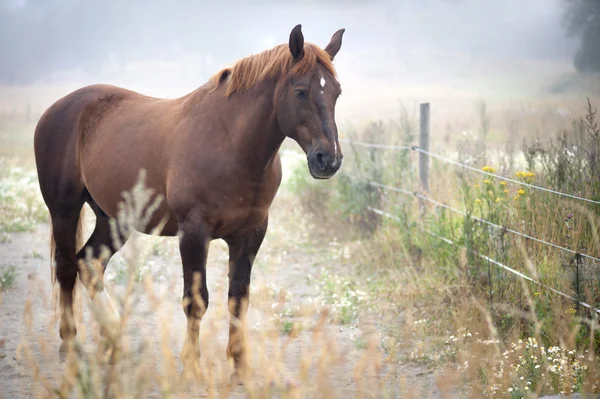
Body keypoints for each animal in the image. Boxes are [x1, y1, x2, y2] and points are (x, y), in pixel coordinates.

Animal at [34, 25, 346, 378]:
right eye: (301, 91)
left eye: (336, 92)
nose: (328, 160)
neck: (231, 144)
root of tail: (58, 108)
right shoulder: (194, 233)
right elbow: (195, 301)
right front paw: (193, 366)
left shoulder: (251, 234)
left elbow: (238, 298)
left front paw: (239, 364)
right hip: (64, 210)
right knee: (66, 268)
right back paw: (70, 343)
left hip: (113, 219)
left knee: (90, 264)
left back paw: (115, 338)